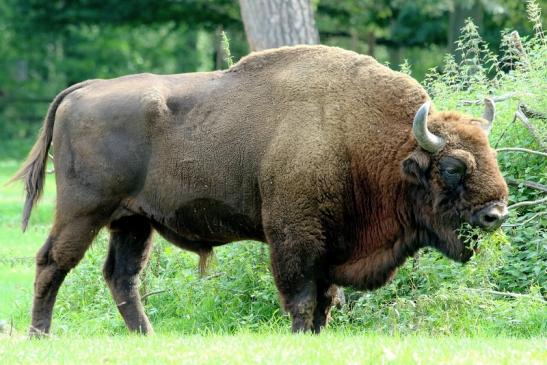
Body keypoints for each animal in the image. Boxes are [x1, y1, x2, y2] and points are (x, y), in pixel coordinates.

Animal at [13, 45, 510, 336]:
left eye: (489, 153)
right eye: (453, 167)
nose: (495, 214)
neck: (374, 140)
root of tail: (82, 90)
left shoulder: (331, 246)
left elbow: (325, 301)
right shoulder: (294, 236)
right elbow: (301, 297)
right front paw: (299, 335)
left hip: (133, 221)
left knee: (122, 276)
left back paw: (146, 337)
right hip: (83, 210)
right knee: (52, 263)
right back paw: (41, 335)